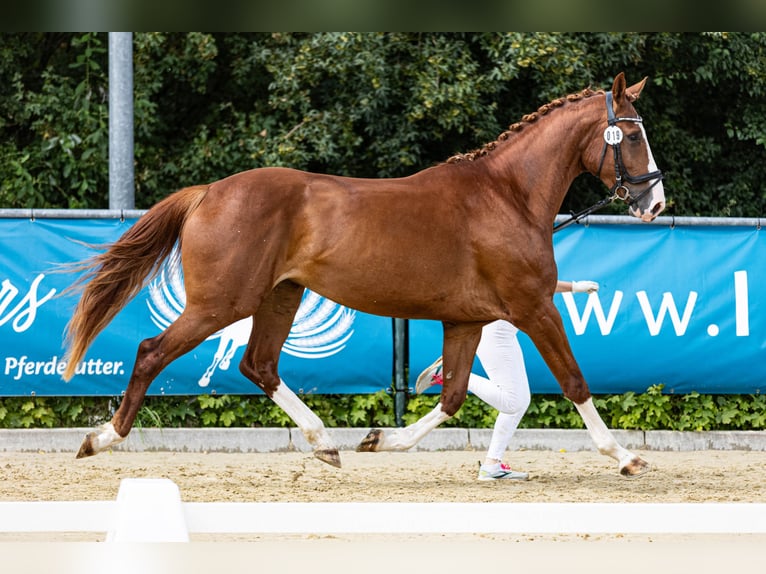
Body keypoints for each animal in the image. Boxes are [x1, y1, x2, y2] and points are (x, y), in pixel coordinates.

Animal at [64, 73, 664, 476]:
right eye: (632, 136)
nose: (655, 203)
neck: (507, 196)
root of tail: (209, 192)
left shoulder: (466, 321)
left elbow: (452, 396)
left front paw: (378, 440)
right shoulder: (534, 307)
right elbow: (574, 381)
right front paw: (626, 456)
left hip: (280, 297)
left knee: (258, 365)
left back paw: (325, 443)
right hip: (220, 304)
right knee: (152, 352)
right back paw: (100, 439)